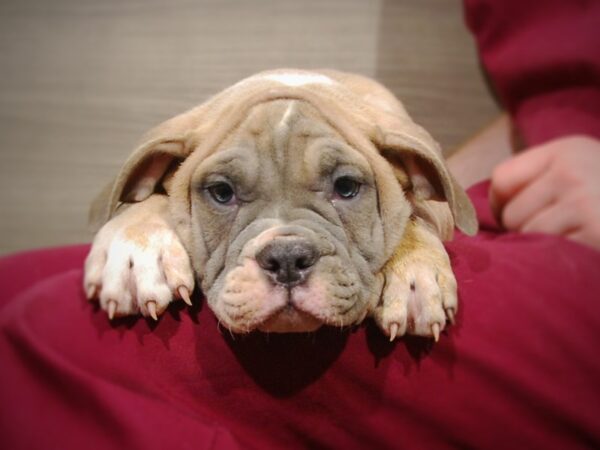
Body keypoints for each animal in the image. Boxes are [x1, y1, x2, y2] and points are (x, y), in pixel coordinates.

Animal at [84, 68, 478, 340]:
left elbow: (413, 217)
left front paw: (415, 274)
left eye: (346, 187)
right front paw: (134, 251)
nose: (287, 259)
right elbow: (150, 196)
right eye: (222, 192)